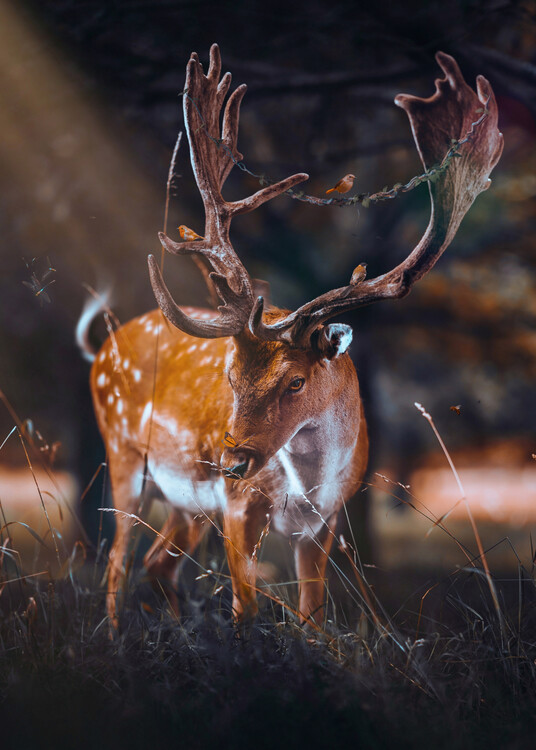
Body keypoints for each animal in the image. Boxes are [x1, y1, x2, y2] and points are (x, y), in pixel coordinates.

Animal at [78, 44, 503, 631]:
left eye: (296, 382)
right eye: (231, 376)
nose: (231, 462)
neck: (306, 490)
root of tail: (102, 351)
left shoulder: (325, 523)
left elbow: (313, 617)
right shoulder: (238, 506)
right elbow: (247, 607)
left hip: (186, 503)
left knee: (155, 561)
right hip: (123, 457)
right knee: (116, 563)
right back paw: (118, 635)